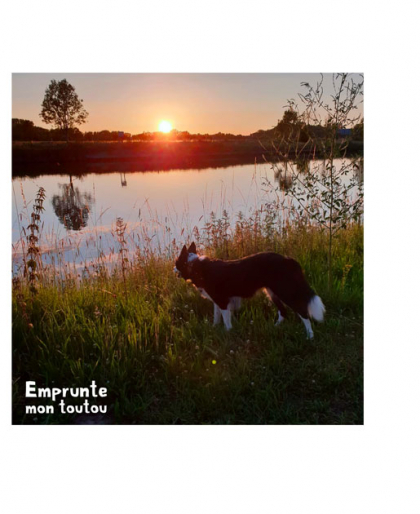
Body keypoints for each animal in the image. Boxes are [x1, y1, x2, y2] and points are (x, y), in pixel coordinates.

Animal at [174, 242, 324, 338]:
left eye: (176, 262)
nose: (173, 269)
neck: (194, 266)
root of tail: (288, 260)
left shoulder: (222, 301)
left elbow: (226, 322)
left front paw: (228, 335)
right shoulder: (217, 301)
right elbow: (216, 318)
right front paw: (214, 329)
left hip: (286, 292)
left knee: (303, 313)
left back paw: (310, 336)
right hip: (272, 293)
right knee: (283, 312)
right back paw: (274, 327)